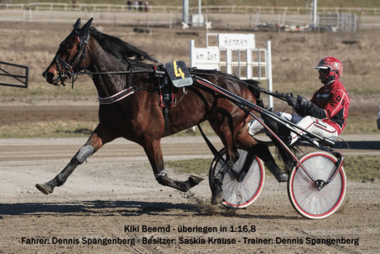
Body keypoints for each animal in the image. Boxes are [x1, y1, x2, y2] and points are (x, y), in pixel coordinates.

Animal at [36, 17, 274, 204]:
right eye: (62, 43)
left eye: (69, 46)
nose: (49, 74)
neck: (125, 86)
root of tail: (244, 84)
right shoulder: (107, 129)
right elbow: (80, 155)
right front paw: (50, 183)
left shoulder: (150, 138)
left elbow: (160, 175)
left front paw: (189, 182)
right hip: (237, 128)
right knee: (259, 148)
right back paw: (276, 173)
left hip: (224, 124)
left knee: (232, 155)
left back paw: (218, 190)